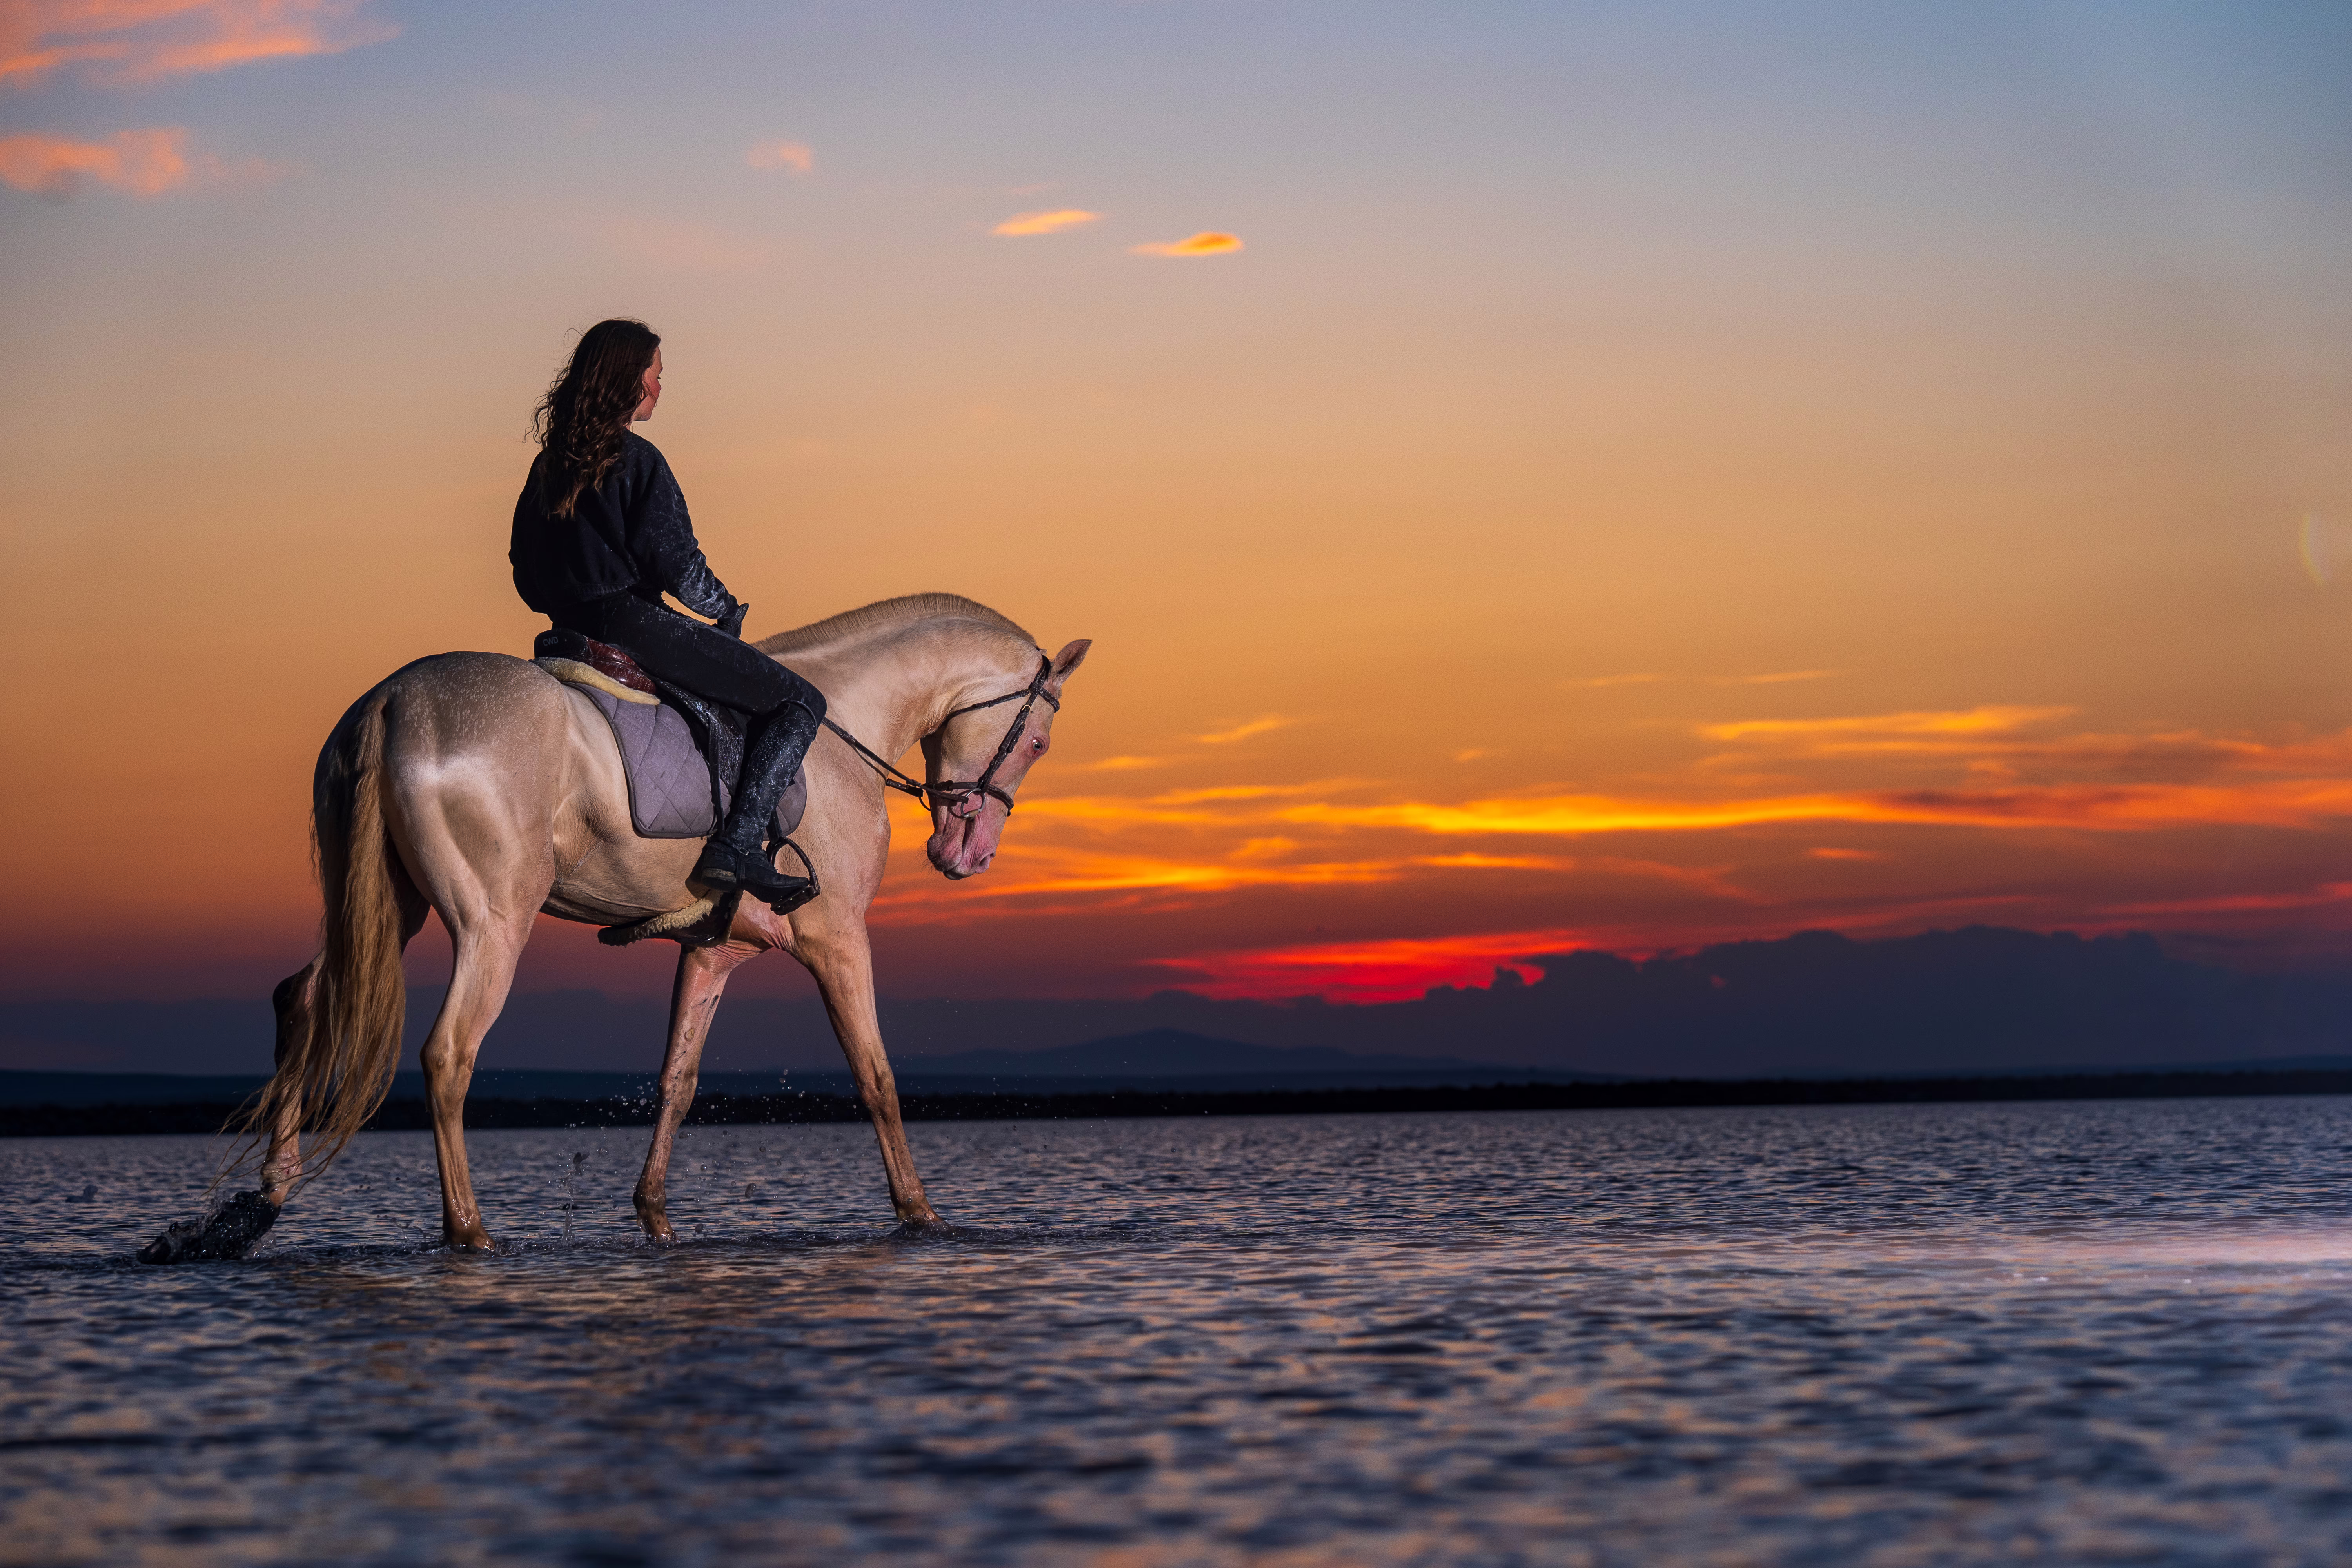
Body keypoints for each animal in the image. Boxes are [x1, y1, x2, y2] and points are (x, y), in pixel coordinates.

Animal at [141, 594, 1089, 1261]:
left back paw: (260, 1202)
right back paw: (467, 1231)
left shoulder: (714, 949)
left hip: (385, 904)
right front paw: (922, 1216)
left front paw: (656, 1221)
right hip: (492, 921)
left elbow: (677, 1081)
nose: (965, 853)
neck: (839, 730)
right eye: (1040, 742)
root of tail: (391, 702)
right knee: (448, 1052)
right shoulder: (837, 940)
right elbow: (877, 1076)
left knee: (304, 999)